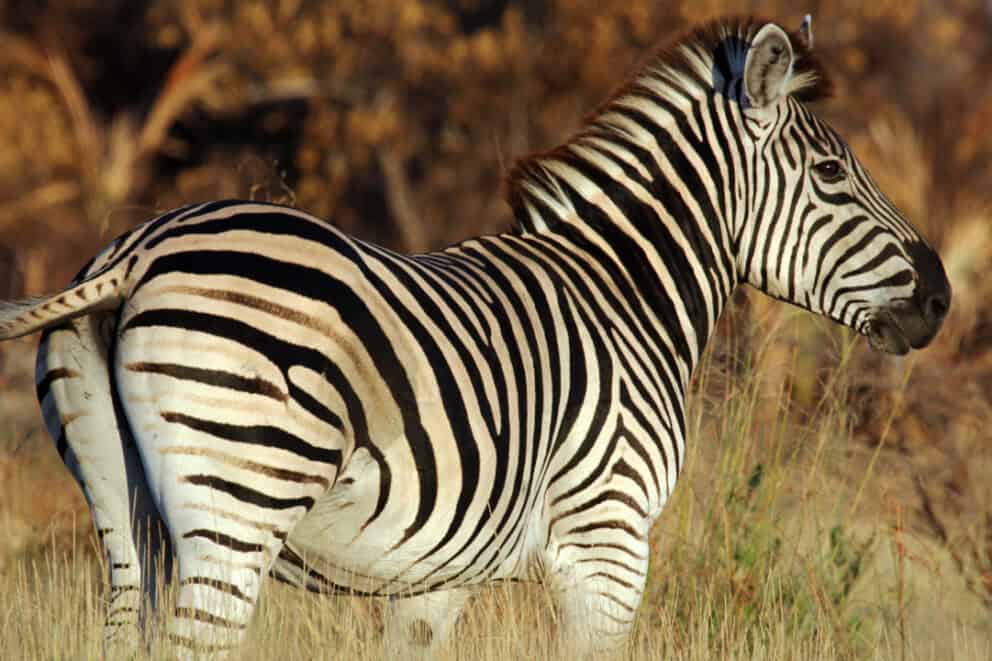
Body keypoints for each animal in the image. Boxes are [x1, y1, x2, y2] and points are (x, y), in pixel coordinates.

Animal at [0, 14, 950, 658]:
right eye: (831, 172)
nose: (940, 296)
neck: (626, 293)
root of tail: (138, 249)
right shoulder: (608, 544)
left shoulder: (432, 580)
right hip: (239, 503)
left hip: (124, 514)